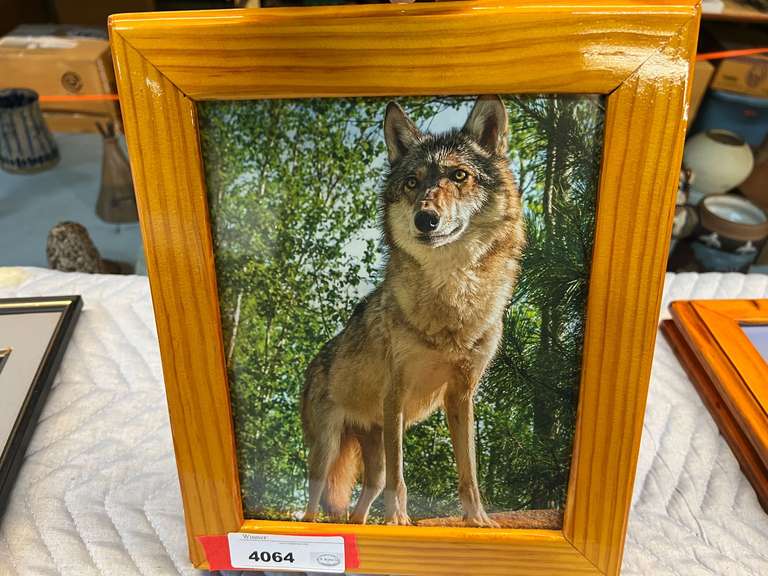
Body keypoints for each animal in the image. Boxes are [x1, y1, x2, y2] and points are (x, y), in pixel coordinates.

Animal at [301, 95, 525, 527]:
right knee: (316, 496)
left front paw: (479, 521)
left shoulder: (461, 396)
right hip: (329, 447)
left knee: (365, 495)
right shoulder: (397, 397)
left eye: (459, 176)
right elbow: (402, 476)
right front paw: (398, 521)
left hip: (372, 449)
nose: (425, 218)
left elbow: (469, 472)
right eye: (411, 182)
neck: (452, 299)